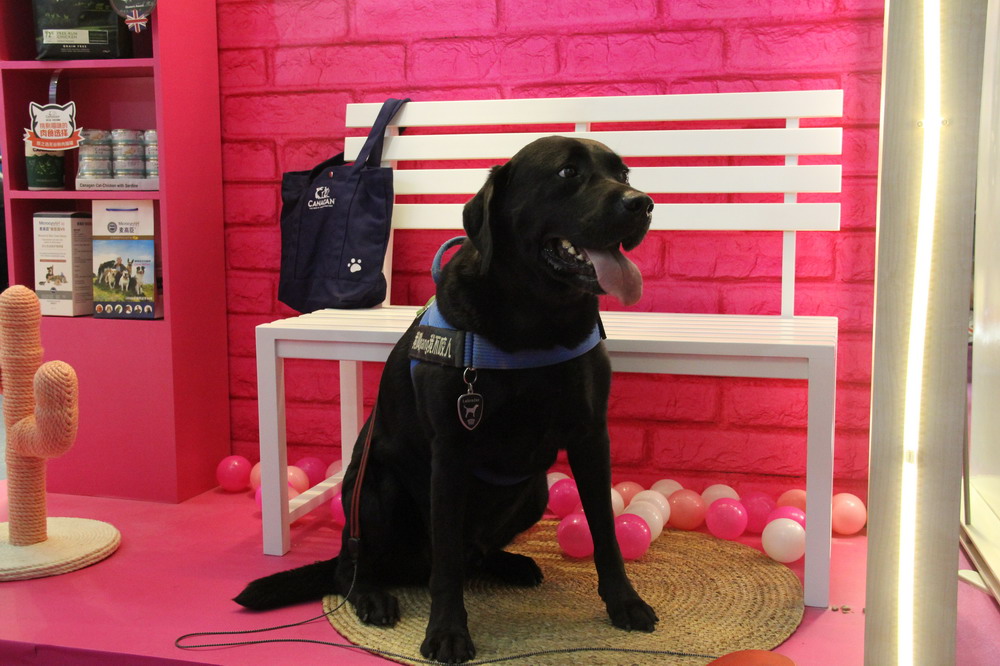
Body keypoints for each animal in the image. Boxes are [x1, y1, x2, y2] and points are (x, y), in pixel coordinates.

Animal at [235, 136, 656, 663]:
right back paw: (371, 595)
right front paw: (448, 632)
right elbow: (448, 562)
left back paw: (510, 564)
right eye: (567, 173)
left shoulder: (590, 435)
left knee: (472, 553)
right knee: (356, 567)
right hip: (375, 487)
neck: (535, 320)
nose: (642, 203)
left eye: (623, 173)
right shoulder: (451, 452)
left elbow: (605, 531)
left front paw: (625, 603)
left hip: (536, 490)